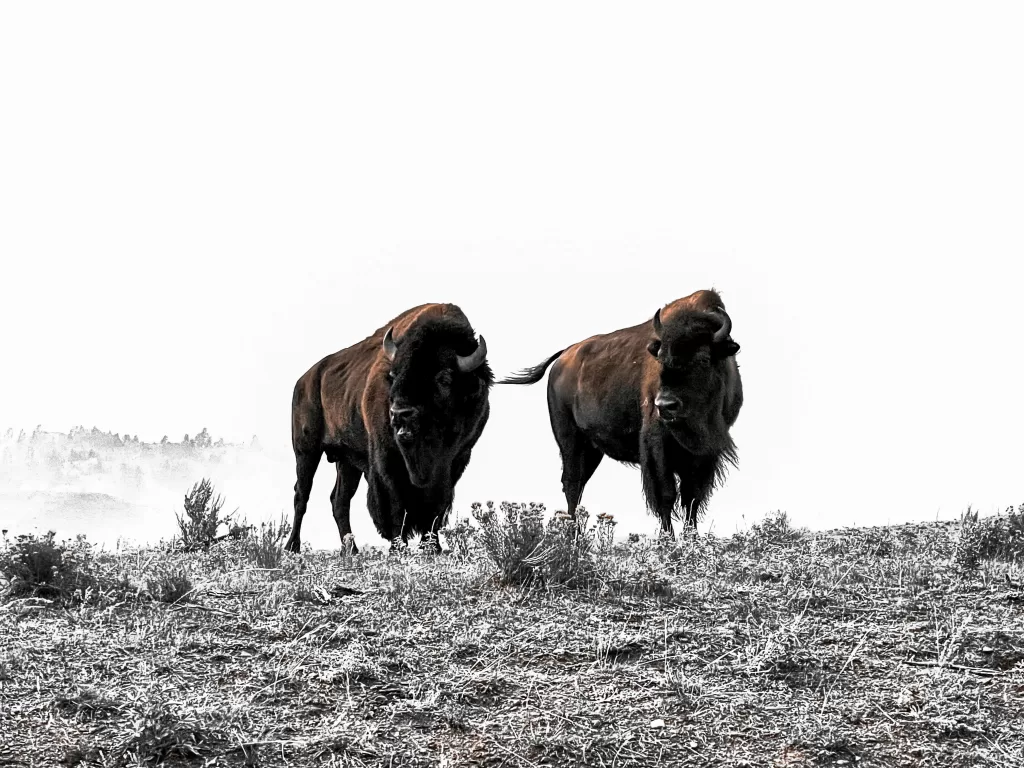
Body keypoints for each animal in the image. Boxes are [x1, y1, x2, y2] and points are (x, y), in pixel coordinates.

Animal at [285, 303, 492, 553]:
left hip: (346, 460)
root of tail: (303, 380)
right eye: (394, 374)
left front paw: (432, 547)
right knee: (301, 495)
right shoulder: (387, 460)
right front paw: (397, 547)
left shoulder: (456, 460)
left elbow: (437, 505)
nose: (400, 413)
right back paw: (292, 546)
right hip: (306, 452)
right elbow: (395, 503)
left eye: (443, 378)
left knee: (339, 500)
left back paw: (351, 550)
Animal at [499, 289, 742, 536]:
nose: (665, 404)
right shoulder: (657, 446)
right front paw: (668, 540)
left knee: (578, 483)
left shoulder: (705, 454)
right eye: (661, 358)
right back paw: (573, 535)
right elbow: (666, 495)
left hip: (592, 449)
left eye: (704, 358)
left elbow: (692, 498)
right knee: (572, 483)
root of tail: (563, 357)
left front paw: (691, 539)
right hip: (569, 439)